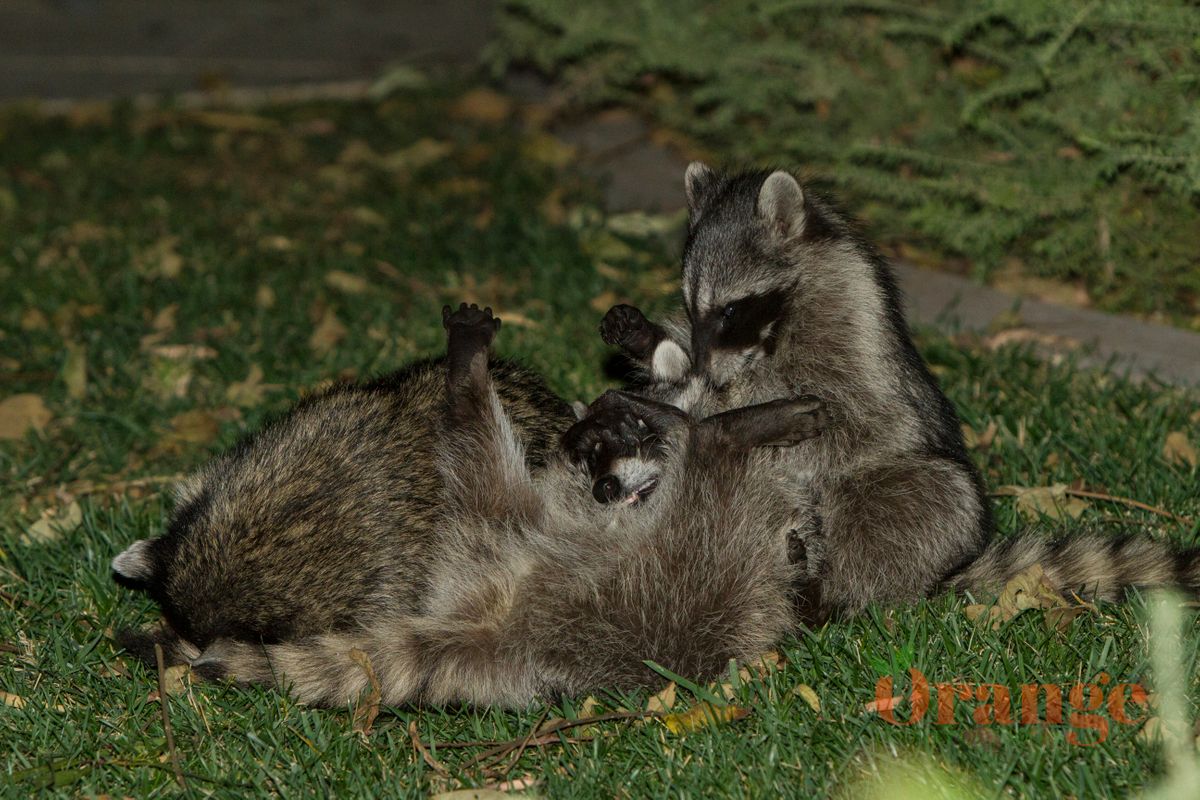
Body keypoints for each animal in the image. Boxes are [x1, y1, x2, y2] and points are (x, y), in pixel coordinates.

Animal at [597, 163, 1200, 617]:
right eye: (693, 305)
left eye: (730, 311)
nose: (707, 371)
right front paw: (658, 350)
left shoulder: (845, 330)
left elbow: (845, 411)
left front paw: (724, 407)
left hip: (900, 486)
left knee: (926, 496)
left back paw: (825, 595)